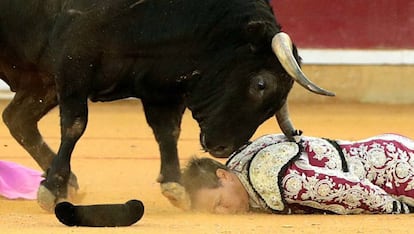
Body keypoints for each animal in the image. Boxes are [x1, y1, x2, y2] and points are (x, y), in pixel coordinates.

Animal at [0, 0, 334, 210]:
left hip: (41, 81)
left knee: (17, 119)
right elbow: (75, 124)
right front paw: (52, 190)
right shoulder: (74, 65)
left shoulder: (161, 84)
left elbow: (168, 131)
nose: (224, 148)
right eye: (261, 84)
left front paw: (175, 186)